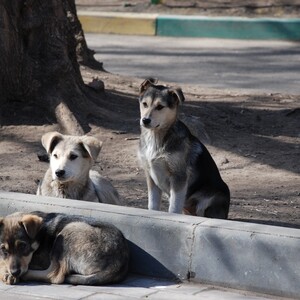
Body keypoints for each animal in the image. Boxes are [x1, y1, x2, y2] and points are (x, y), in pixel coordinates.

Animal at [0, 211, 129, 286]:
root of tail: (118, 266)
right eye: (3, 250)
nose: (15, 272)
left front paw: (7, 274)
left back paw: (24, 276)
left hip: (69, 230)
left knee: (54, 275)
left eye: (23, 246)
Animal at [138, 78, 230, 219]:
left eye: (160, 107)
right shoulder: (150, 176)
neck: (156, 137)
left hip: (211, 197)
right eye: (144, 104)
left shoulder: (179, 177)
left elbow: (174, 207)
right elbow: (152, 205)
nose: (145, 120)